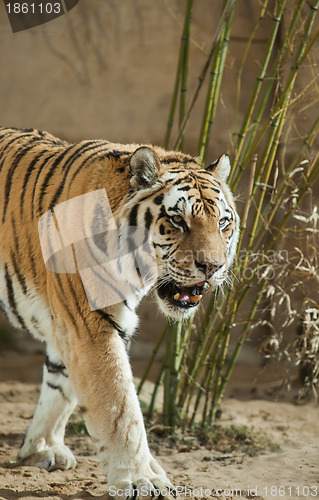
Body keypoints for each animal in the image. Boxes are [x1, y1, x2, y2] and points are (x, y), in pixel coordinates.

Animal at [0, 127, 240, 498]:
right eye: (177, 220)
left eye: (223, 223)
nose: (213, 267)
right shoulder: (88, 324)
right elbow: (119, 407)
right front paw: (141, 479)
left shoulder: (72, 325)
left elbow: (60, 387)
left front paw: (41, 448)